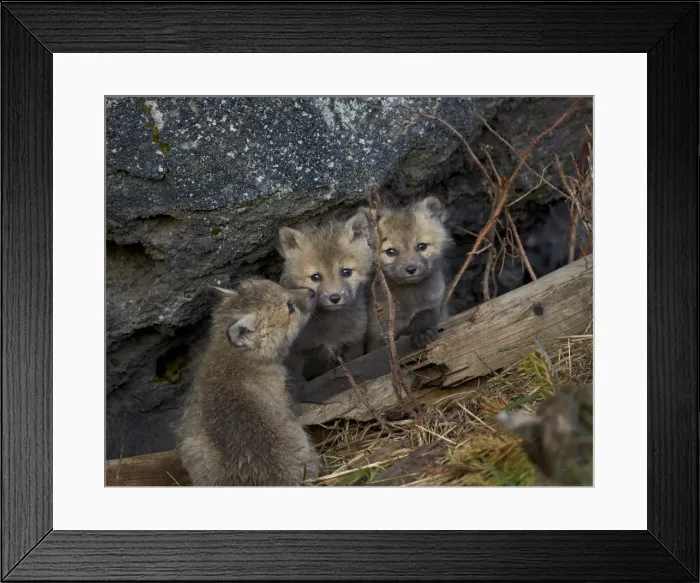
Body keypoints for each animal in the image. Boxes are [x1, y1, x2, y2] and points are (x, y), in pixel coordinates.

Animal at [276, 211, 373, 393]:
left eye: (346, 272)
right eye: (315, 277)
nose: (334, 298)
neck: (331, 329)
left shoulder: (353, 345)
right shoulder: (298, 354)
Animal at [363, 196, 453, 352]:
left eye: (422, 246)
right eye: (391, 252)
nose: (411, 269)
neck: (410, 297)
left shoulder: (436, 305)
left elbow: (424, 314)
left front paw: (422, 333)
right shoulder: (378, 331)